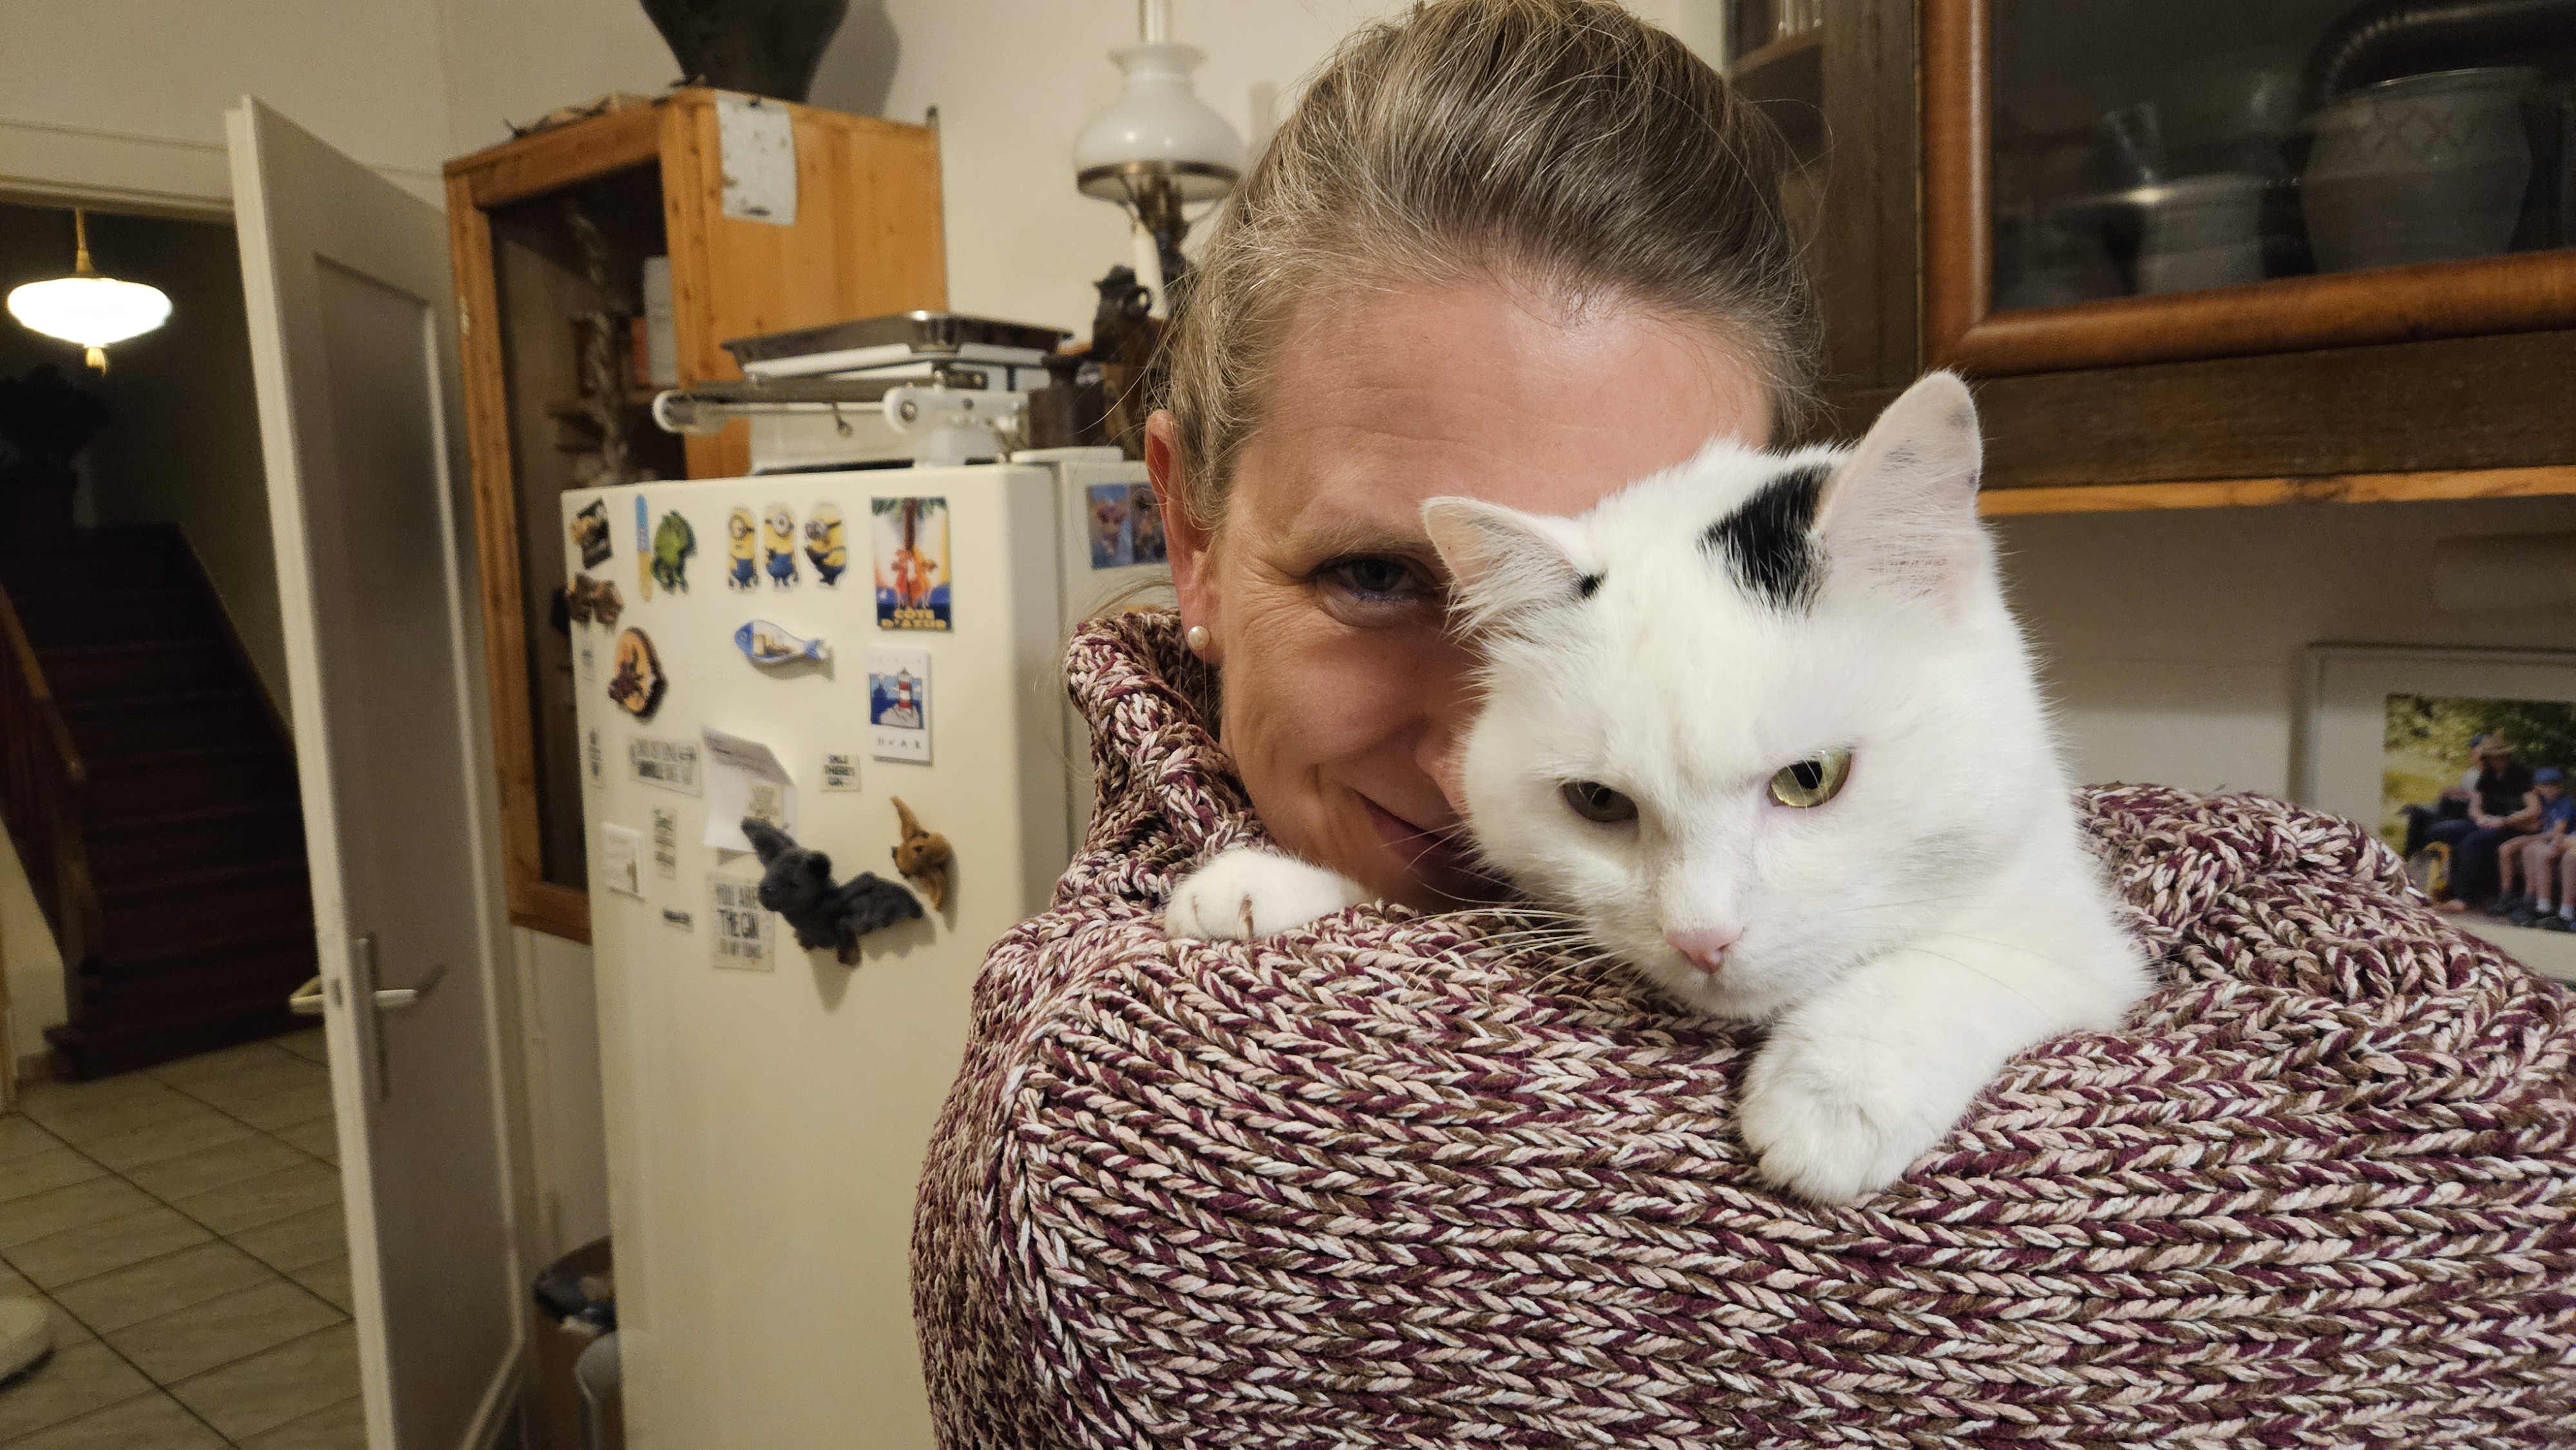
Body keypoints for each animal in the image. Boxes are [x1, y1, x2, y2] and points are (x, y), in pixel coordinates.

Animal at [1163, 372, 2153, 1205]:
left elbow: (1960, 961)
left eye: (1811, 778)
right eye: (1599, 804)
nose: (1702, 938)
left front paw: (1835, 1095)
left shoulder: (2080, 943)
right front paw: (1263, 887)